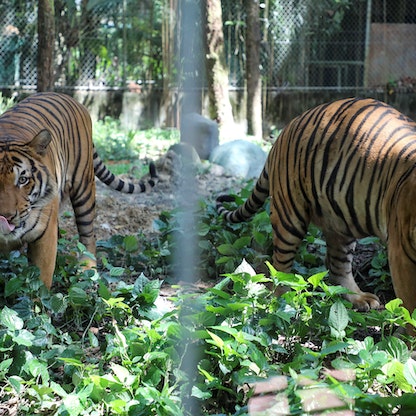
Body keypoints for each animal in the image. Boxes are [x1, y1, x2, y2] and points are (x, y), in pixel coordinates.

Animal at [0, 92, 158, 290]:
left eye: (22, 180)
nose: (6, 217)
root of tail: (67, 96)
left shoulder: (44, 236)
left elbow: (41, 283)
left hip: (84, 189)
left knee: (89, 234)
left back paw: (87, 269)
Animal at [216, 97, 416, 316]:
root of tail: (287, 128)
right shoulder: (401, 252)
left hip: (341, 222)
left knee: (337, 265)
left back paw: (358, 298)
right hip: (289, 216)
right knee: (280, 267)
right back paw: (281, 302)